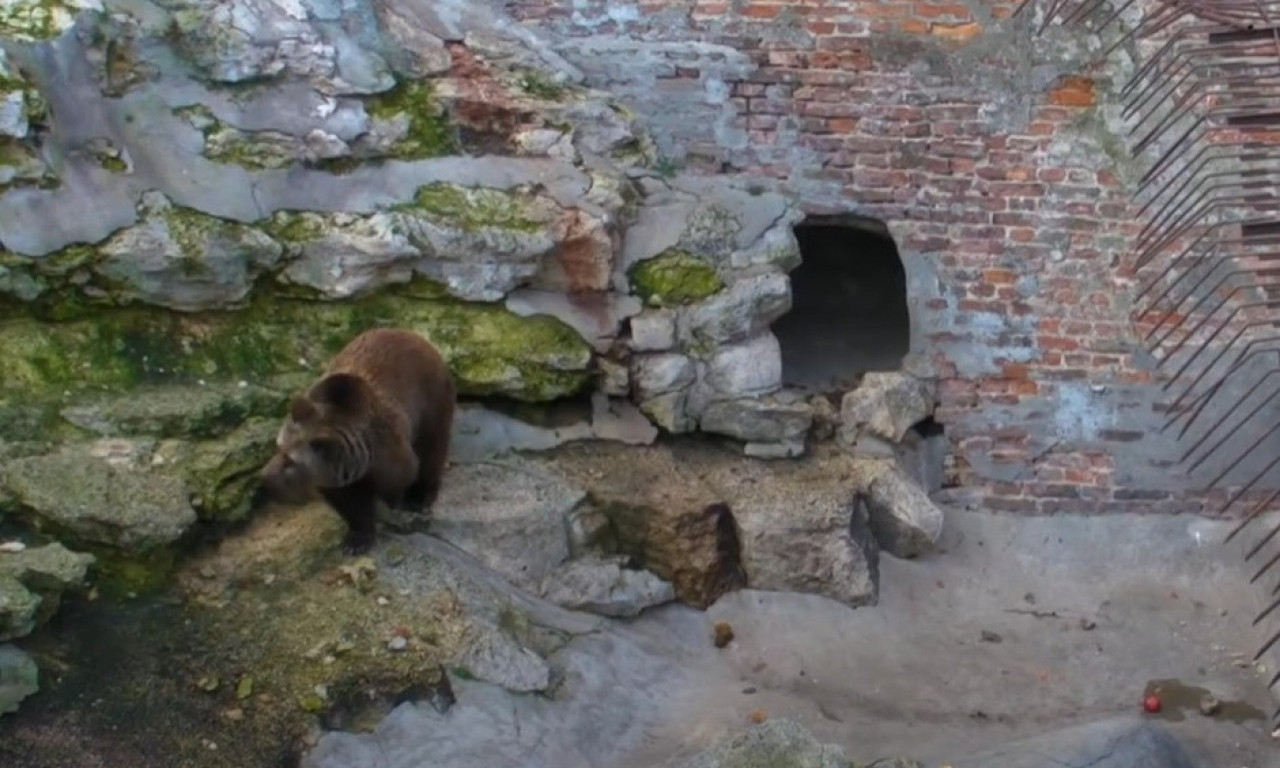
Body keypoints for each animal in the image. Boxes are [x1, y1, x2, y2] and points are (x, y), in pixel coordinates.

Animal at [254, 326, 455, 555]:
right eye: (278, 447)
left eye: (290, 460)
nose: (265, 476)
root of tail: (412, 334)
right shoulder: (336, 479)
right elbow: (352, 507)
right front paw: (357, 539)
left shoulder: (388, 453)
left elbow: (402, 476)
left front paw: (396, 505)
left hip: (433, 400)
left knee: (432, 448)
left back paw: (421, 496)